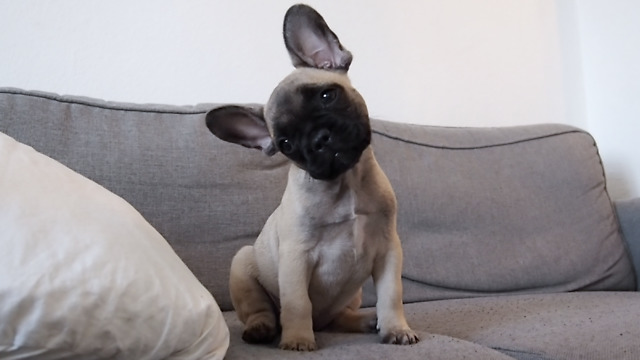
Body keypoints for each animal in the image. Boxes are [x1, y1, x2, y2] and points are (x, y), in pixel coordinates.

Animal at [206, 2, 420, 352]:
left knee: (340, 317)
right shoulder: (295, 257)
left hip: (351, 295)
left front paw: (396, 328)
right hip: (242, 264)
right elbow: (298, 303)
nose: (318, 139)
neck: (345, 184)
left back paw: (366, 320)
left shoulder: (389, 250)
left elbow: (392, 294)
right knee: (261, 310)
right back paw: (263, 329)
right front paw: (297, 339)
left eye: (327, 96)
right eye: (286, 144)